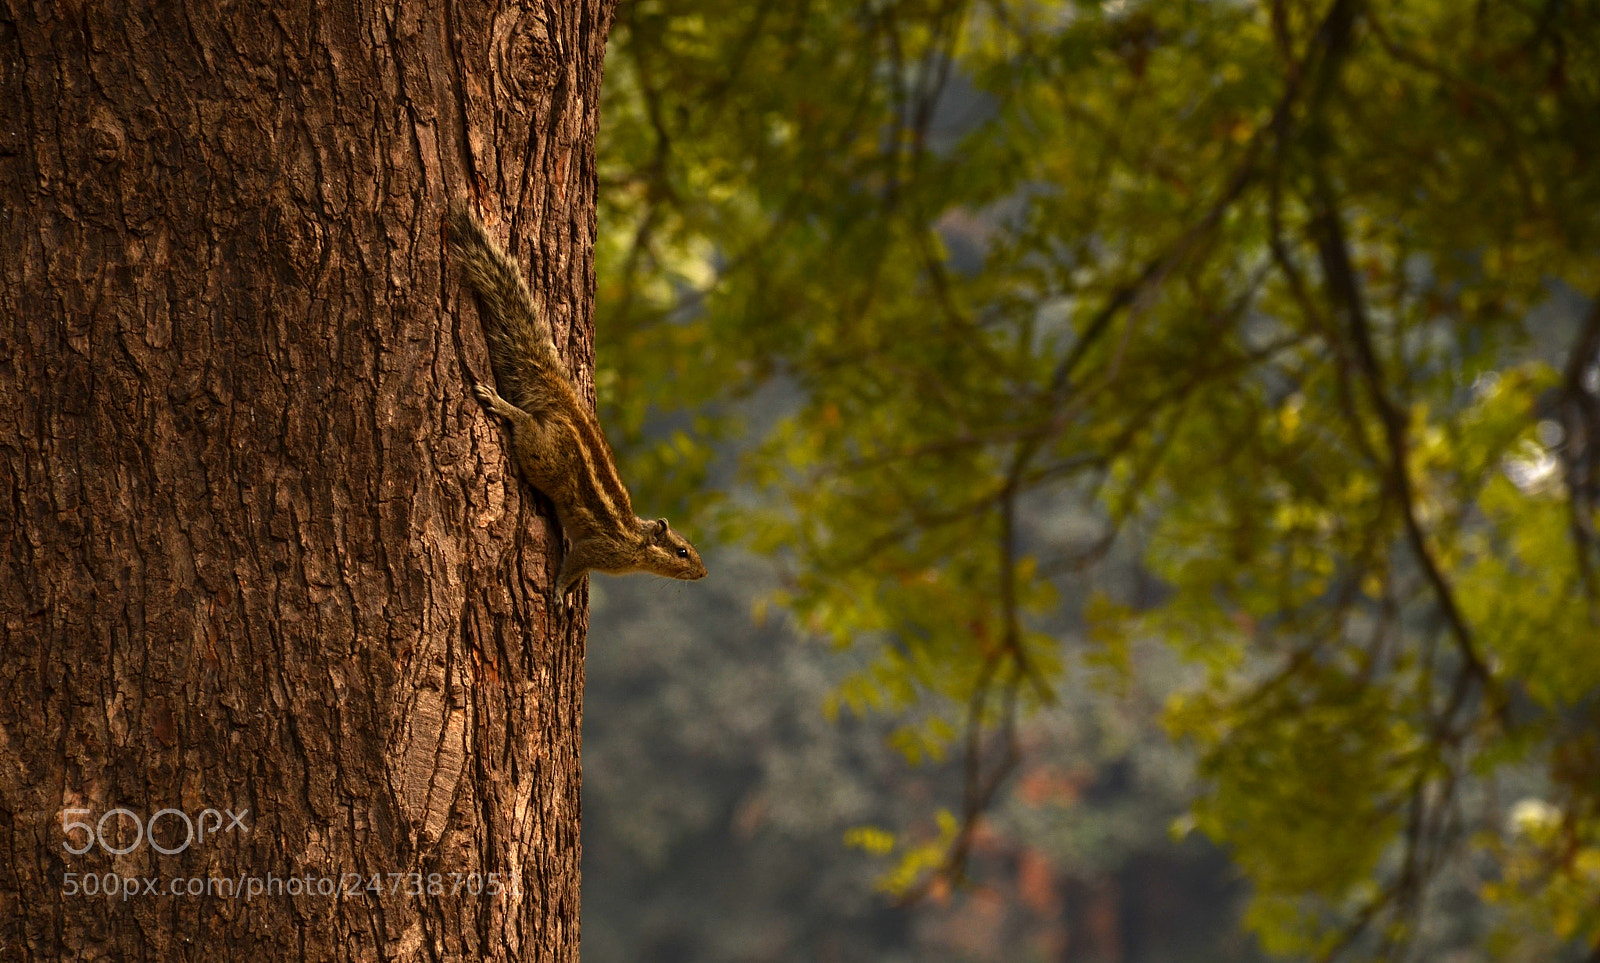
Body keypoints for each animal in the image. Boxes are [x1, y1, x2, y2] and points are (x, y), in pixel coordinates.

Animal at [448, 205, 708, 598]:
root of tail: (569, 405)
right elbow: (576, 561)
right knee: (526, 425)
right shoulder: (600, 549)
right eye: (681, 551)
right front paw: (559, 590)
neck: (635, 541)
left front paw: (566, 591)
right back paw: (502, 405)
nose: (703, 573)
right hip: (545, 454)